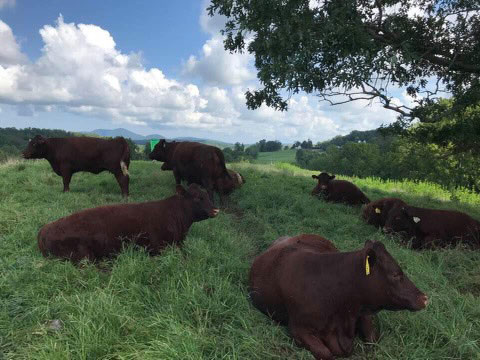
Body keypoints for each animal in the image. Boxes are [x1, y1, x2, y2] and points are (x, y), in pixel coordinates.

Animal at [38, 183, 218, 262]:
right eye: (197, 198)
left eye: (208, 195)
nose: (216, 210)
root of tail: (44, 229)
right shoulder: (159, 247)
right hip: (83, 255)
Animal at [248, 233, 428, 360]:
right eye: (395, 274)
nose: (424, 297)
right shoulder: (298, 328)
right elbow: (325, 353)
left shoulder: (362, 312)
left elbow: (373, 339)